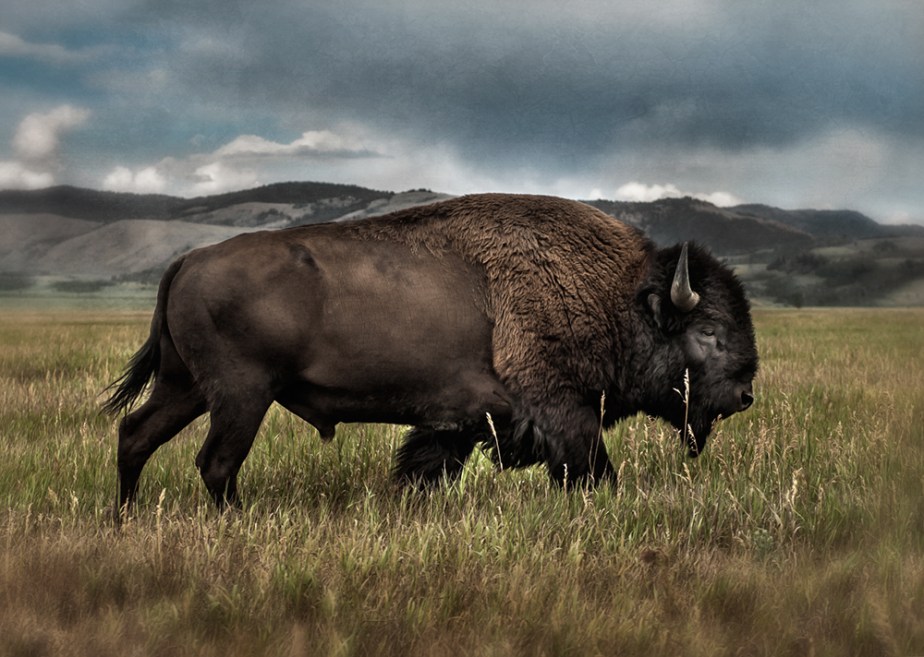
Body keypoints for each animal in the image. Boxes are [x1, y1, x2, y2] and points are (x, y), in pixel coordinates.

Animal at [104, 194, 757, 513]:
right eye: (710, 333)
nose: (745, 393)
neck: (613, 295)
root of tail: (187, 259)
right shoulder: (564, 413)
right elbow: (595, 470)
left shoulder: (459, 422)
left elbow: (425, 468)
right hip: (241, 395)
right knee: (215, 462)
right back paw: (234, 521)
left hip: (187, 387)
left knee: (136, 434)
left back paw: (125, 516)